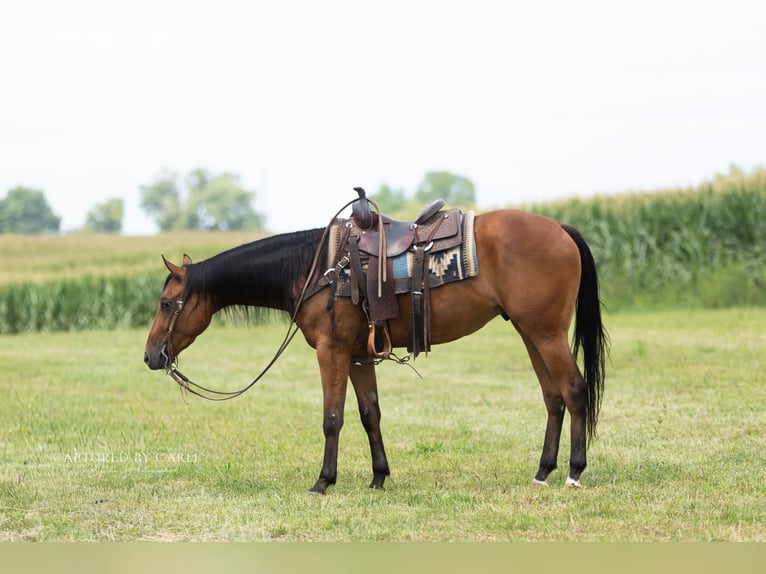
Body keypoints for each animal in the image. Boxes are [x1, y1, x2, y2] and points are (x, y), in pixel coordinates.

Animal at [144, 207, 608, 494]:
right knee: (553, 397)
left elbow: (332, 418)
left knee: (575, 390)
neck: (317, 268)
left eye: (166, 304)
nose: (150, 356)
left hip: (546, 333)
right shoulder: (357, 355)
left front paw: (323, 481)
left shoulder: (331, 351)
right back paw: (543, 471)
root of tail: (560, 228)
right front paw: (379, 477)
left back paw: (574, 472)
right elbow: (370, 414)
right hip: (530, 333)